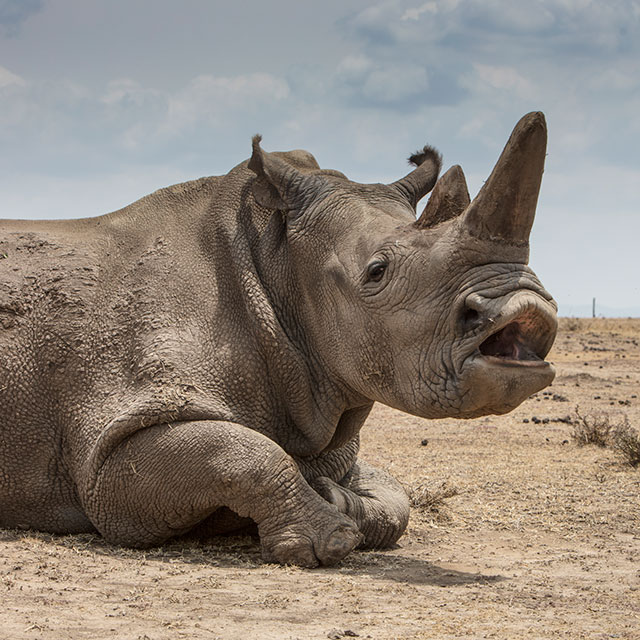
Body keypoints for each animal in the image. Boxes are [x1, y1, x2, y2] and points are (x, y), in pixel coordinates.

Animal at [0, 112, 557, 567]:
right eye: (377, 272)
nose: (526, 308)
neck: (277, 260)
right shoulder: (111, 453)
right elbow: (243, 453)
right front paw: (328, 539)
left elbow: (394, 499)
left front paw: (335, 496)